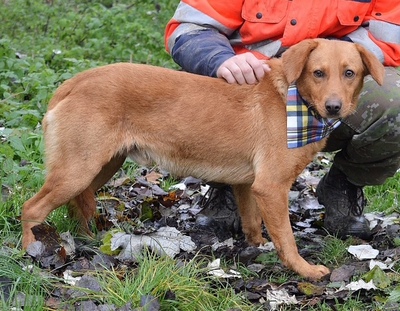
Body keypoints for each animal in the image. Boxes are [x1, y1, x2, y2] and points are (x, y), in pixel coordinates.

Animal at [20, 39, 382, 280]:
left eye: (349, 73)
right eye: (318, 73)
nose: (334, 107)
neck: (294, 102)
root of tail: (71, 83)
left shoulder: (250, 186)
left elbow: (253, 224)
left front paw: (256, 247)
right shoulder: (271, 187)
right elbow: (287, 239)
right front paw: (303, 270)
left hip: (99, 167)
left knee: (78, 203)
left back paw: (87, 237)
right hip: (77, 171)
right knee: (31, 209)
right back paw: (31, 251)